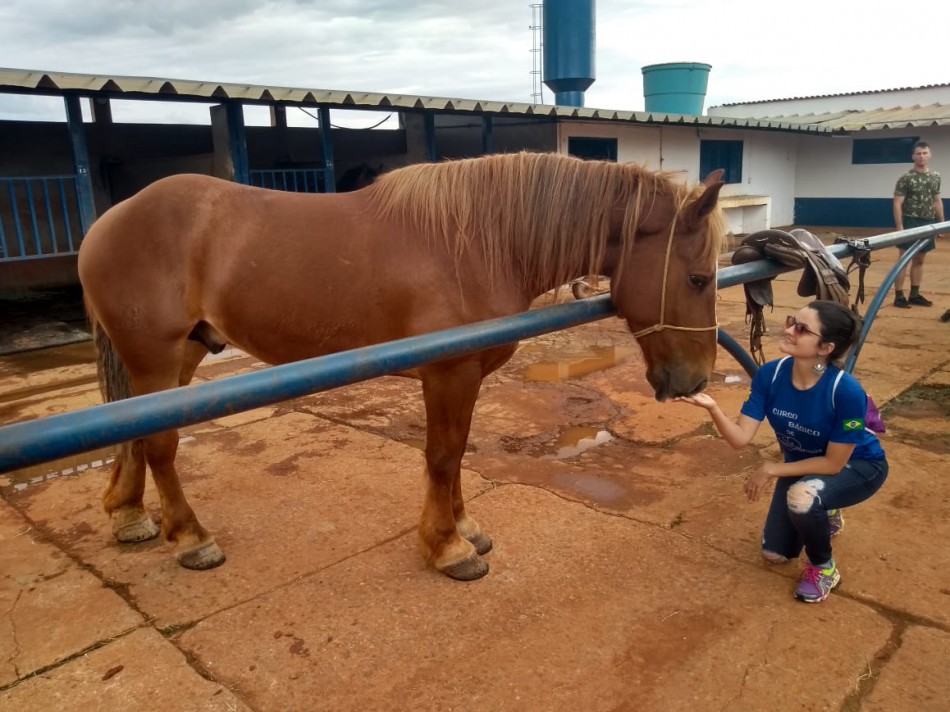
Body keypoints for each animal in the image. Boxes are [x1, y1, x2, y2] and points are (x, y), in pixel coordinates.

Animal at [78, 153, 724, 580]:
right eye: (698, 278)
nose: (694, 379)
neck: (477, 241)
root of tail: (108, 220)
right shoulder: (449, 375)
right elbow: (443, 456)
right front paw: (447, 549)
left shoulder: (465, 380)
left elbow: (457, 454)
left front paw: (464, 530)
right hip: (157, 356)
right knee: (161, 446)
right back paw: (191, 538)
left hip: (178, 357)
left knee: (135, 435)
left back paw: (130, 516)